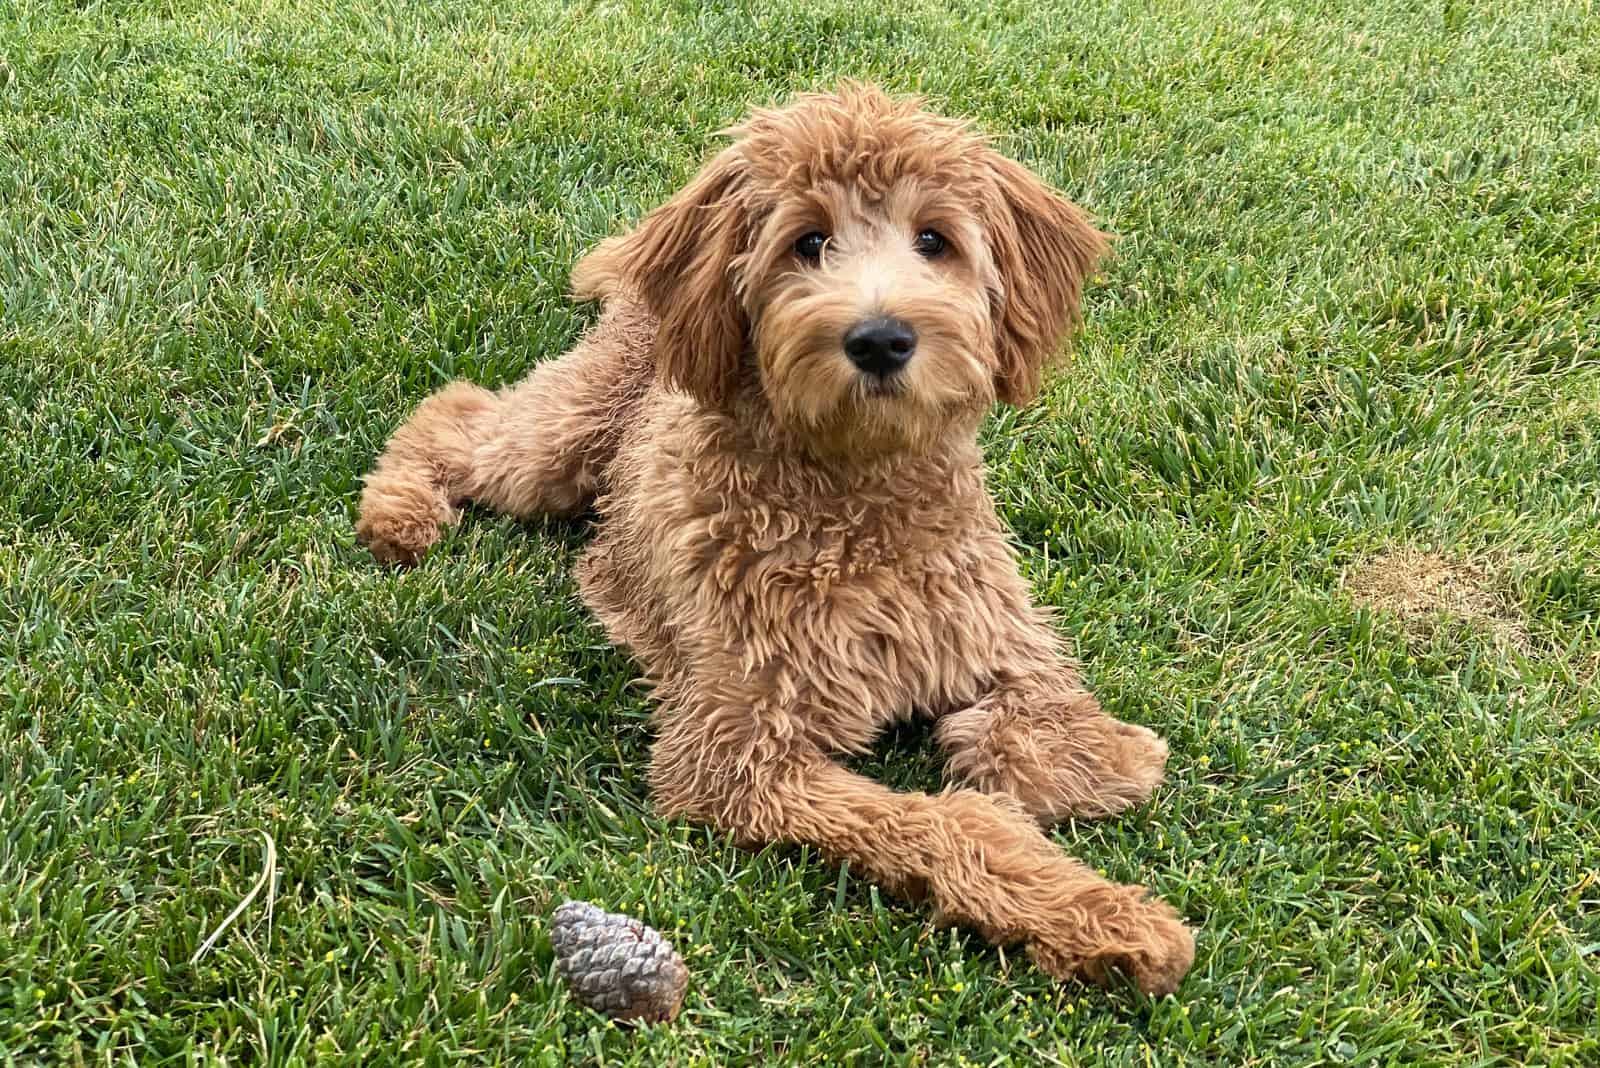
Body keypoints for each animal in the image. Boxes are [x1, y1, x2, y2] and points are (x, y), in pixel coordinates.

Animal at [356, 83, 1196, 991]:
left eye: (933, 240)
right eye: (808, 242)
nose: (880, 338)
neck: (856, 500)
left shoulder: (1002, 638)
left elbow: (1052, 735)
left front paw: (1088, 767)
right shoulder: (736, 755)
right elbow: (940, 822)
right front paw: (1108, 918)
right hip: (559, 443)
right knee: (457, 413)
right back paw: (398, 515)